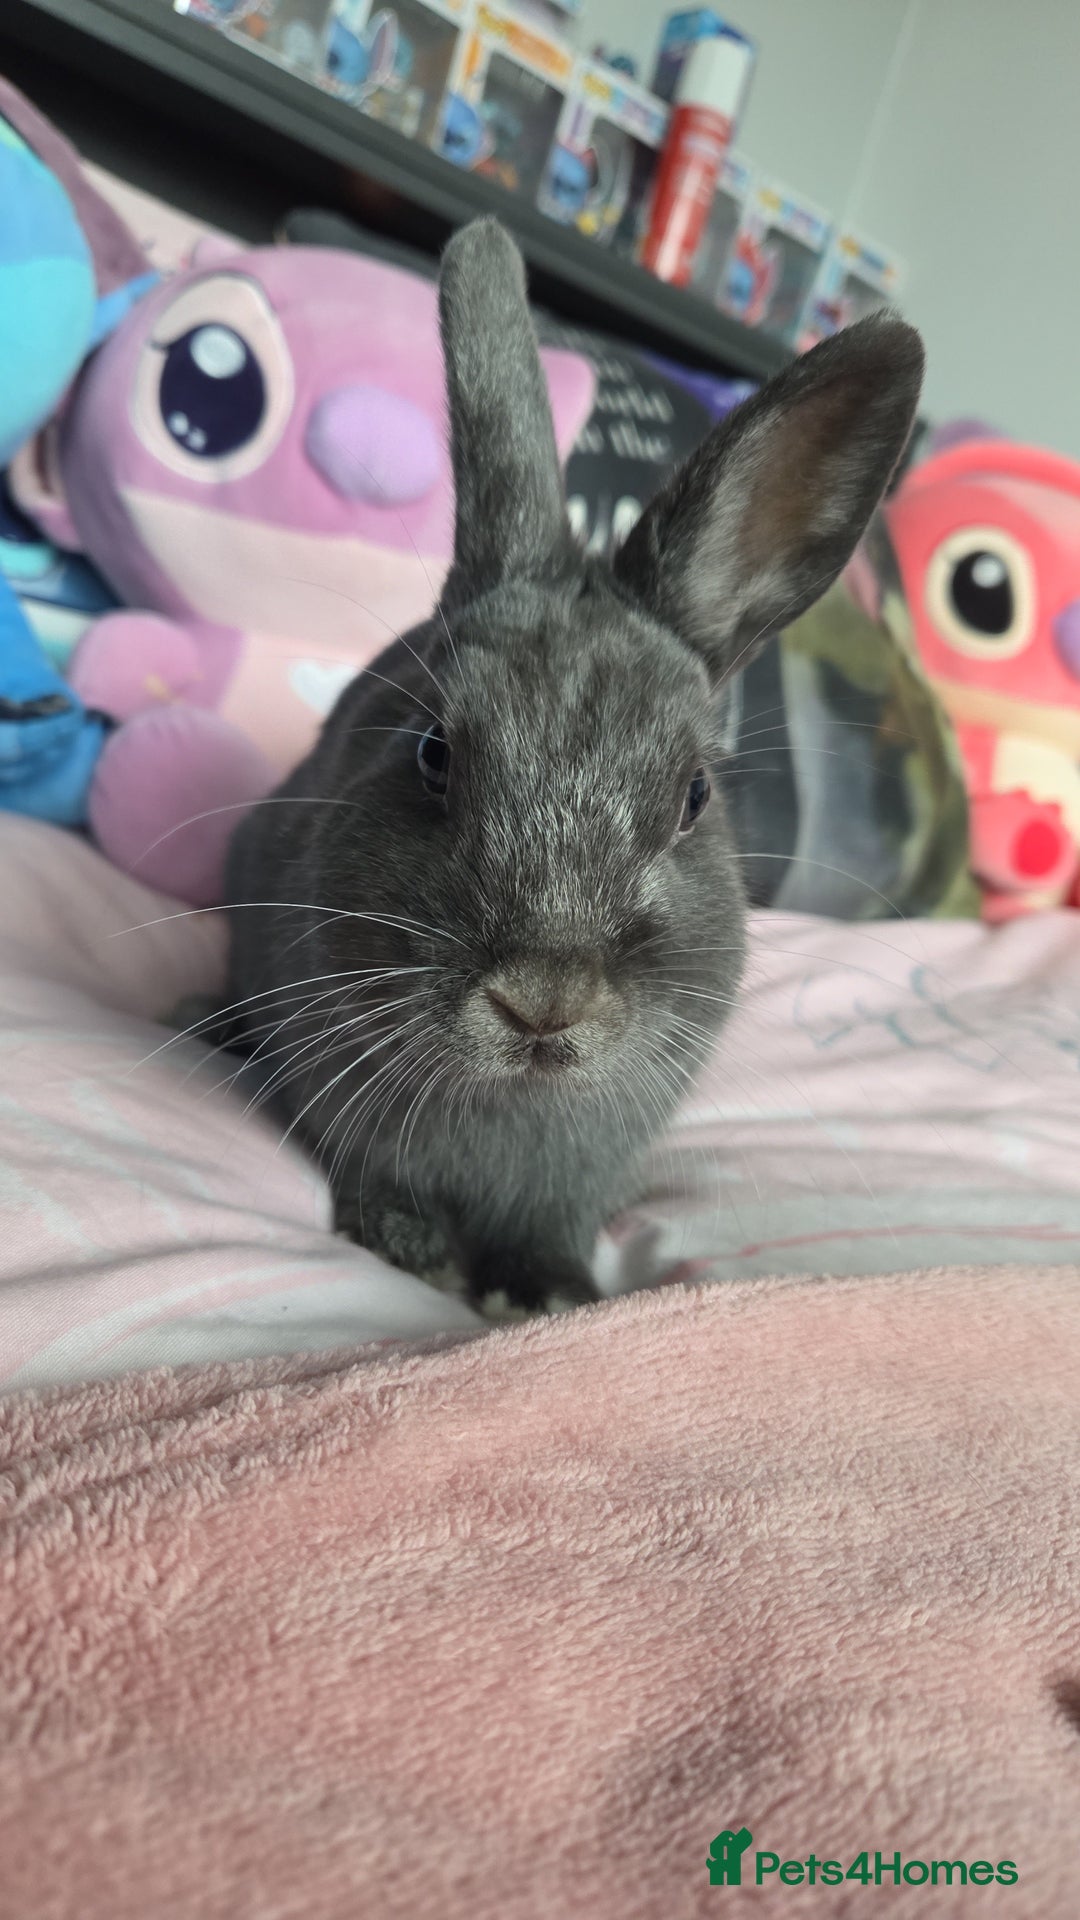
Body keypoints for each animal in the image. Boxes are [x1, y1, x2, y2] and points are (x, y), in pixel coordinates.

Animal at [222, 217, 923, 1315]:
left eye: (694, 796)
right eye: (432, 752)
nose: (543, 997)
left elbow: (550, 1230)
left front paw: (548, 1294)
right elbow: (370, 1175)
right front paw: (411, 1247)